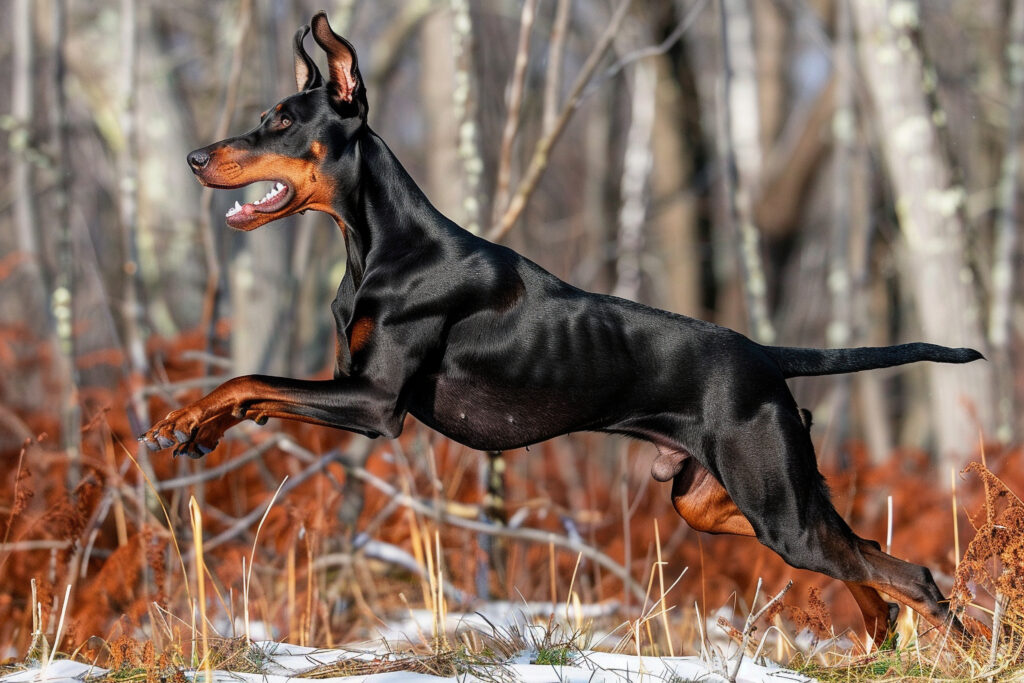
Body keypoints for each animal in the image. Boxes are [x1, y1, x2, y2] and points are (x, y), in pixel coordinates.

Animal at [140, 12, 978, 647]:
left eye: (280, 122)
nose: (193, 157)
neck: (379, 242)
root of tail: (764, 353)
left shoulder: (375, 403)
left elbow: (250, 378)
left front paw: (184, 418)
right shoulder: (352, 387)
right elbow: (250, 388)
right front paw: (194, 427)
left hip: (776, 505)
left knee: (905, 571)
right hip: (714, 502)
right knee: (866, 560)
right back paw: (880, 636)